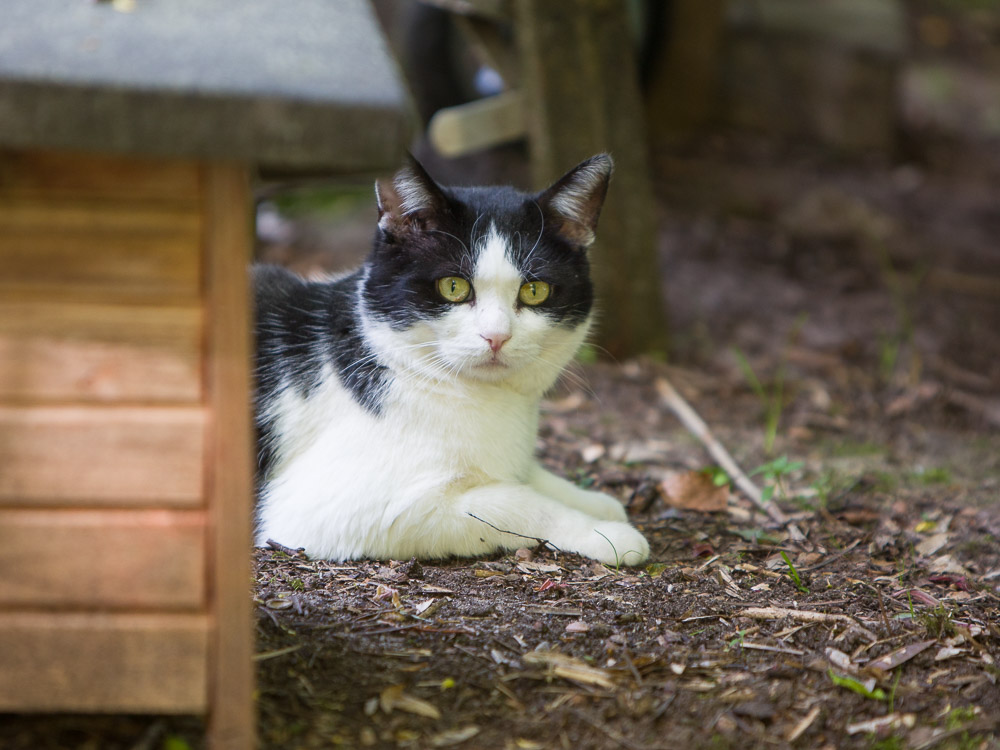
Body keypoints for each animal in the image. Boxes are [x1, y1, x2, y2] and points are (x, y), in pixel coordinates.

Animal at [254, 156, 652, 568]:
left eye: (535, 290)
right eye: (453, 287)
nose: (496, 336)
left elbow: (523, 476)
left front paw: (595, 501)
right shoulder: (332, 508)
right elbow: (512, 501)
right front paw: (604, 533)